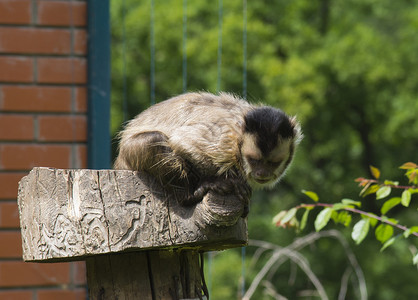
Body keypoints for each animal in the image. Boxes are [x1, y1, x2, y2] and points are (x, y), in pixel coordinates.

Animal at [116, 92, 302, 217]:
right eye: (254, 160)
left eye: (273, 163)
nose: (262, 173)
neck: (237, 140)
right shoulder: (224, 141)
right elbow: (182, 142)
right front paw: (215, 182)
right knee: (154, 139)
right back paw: (189, 196)